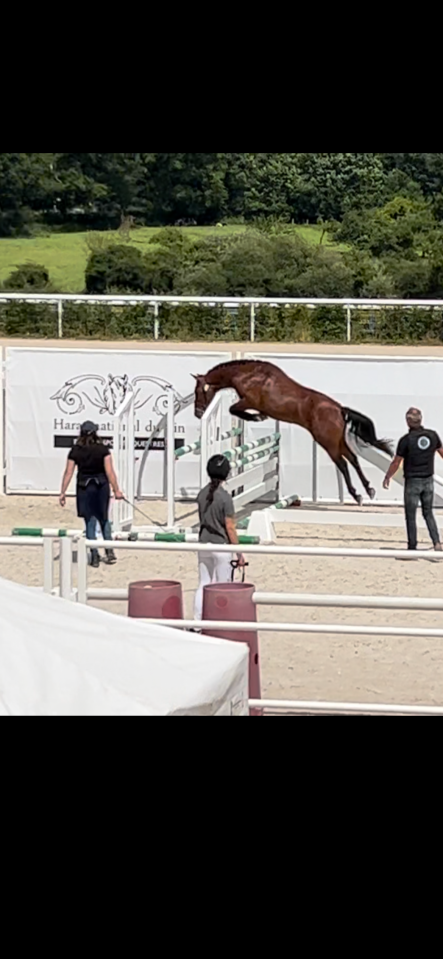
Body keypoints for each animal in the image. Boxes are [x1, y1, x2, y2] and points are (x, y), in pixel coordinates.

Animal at [193, 359, 394, 506]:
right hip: (337, 441)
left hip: (327, 442)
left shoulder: (248, 401)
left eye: (198, 392)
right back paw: (368, 490)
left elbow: (233, 409)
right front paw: (259, 417)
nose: (198, 414)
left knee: (343, 464)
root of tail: (339, 409)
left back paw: (356, 494)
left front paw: (257, 418)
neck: (248, 375)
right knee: (353, 459)